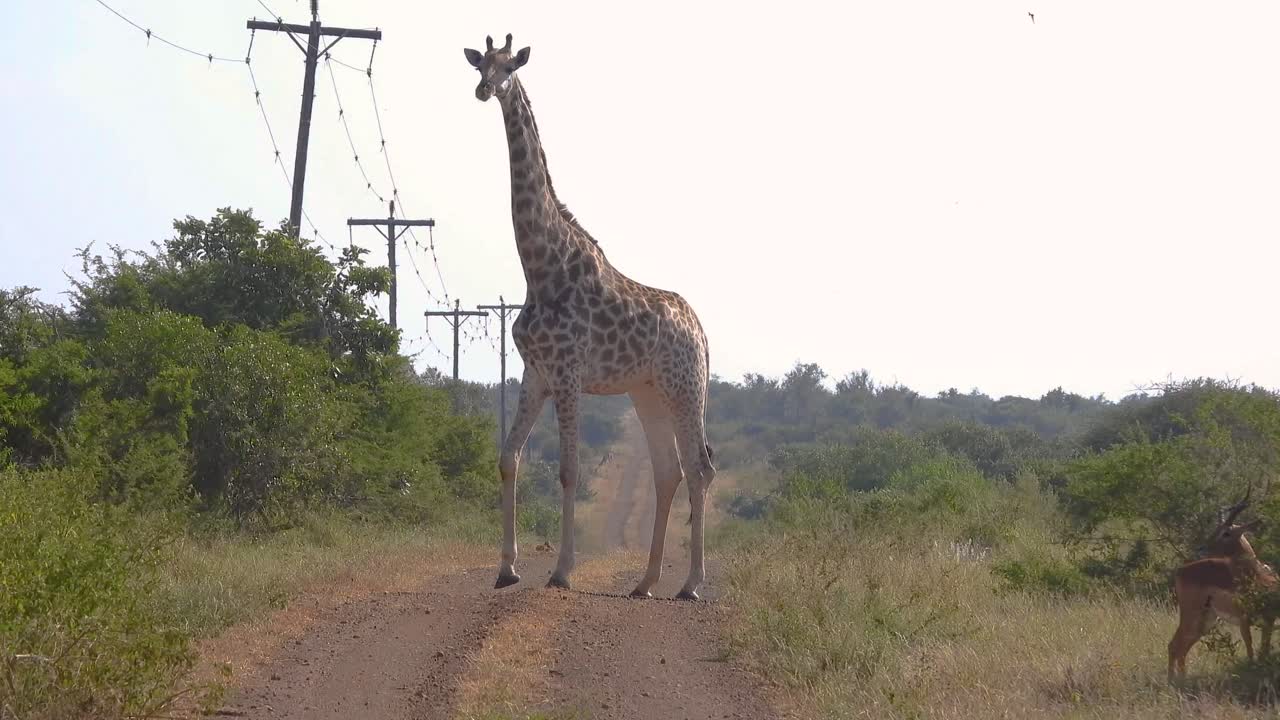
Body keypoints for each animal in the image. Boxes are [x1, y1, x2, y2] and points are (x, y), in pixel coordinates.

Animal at [464, 34, 716, 600]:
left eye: (511, 66)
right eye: (481, 63)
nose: (485, 89)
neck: (541, 267)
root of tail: (702, 331)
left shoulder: (568, 373)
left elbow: (569, 471)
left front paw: (561, 571)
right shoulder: (535, 372)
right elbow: (507, 458)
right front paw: (507, 568)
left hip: (685, 386)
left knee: (700, 468)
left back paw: (691, 584)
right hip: (648, 393)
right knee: (669, 471)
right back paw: (645, 582)